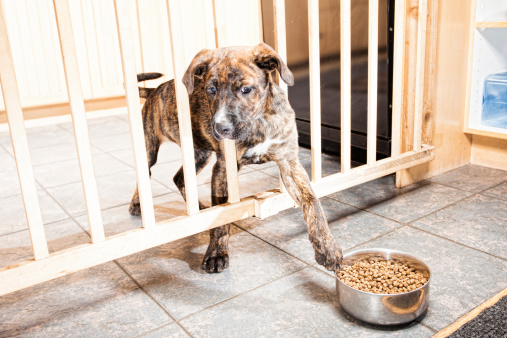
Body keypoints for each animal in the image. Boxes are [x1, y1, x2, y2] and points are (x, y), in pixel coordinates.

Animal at [131, 43, 346, 274]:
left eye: (246, 89)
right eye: (211, 90)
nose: (221, 128)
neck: (259, 121)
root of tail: (155, 91)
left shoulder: (290, 163)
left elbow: (312, 201)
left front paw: (327, 246)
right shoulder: (224, 169)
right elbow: (223, 215)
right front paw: (216, 253)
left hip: (200, 154)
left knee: (179, 178)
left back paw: (199, 207)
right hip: (148, 147)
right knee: (145, 174)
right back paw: (137, 204)